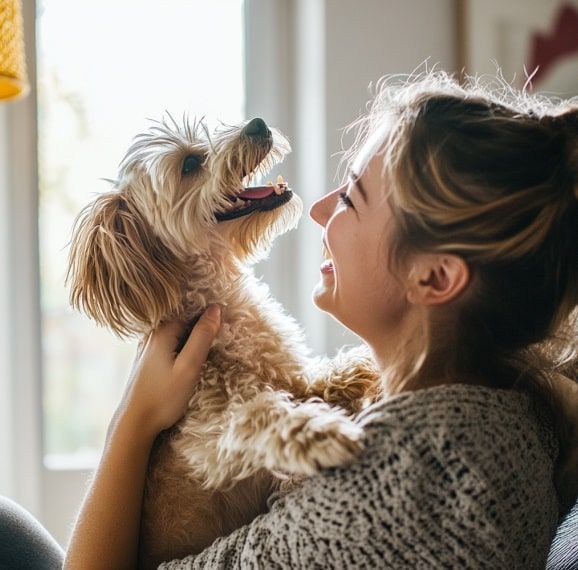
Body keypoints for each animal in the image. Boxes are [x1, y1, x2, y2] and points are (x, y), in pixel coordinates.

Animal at [65, 114, 380, 564]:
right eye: (189, 164)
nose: (258, 123)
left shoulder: (290, 375)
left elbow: (318, 379)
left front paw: (362, 365)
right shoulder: (208, 434)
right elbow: (262, 415)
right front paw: (320, 433)